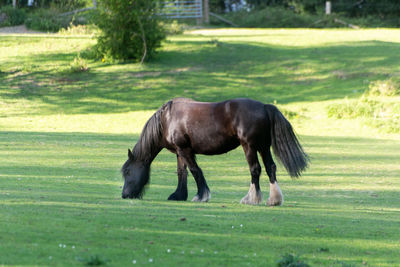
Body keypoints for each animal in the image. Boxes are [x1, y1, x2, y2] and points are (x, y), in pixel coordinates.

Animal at [122, 99, 310, 207]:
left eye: (128, 172)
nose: (125, 195)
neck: (167, 119)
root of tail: (264, 107)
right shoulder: (179, 152)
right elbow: (182, 173)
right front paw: (178, 195)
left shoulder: (185, 150)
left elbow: (195, 171)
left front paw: (201, 196)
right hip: (263, 147)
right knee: (270, 167)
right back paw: (274, 200)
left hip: (249, 146)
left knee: (255, 169)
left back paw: (251, 199)